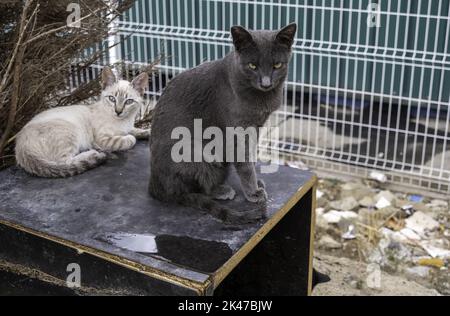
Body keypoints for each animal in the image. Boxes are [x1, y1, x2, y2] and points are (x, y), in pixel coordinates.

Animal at [15, 67, 149, 178]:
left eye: (128, 101)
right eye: (112, 99)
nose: (118, 111)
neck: (124, 121)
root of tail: (20, 146)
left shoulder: (128, 126)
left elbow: (135, 130)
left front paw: (147, 132)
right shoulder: (103, 139)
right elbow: (129, 139)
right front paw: (129, 137)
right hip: (69, 132)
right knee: (64, 162)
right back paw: (94, 154)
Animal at [149, 23, 298, 223]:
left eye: (277, 65)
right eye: (252, 65)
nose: (266, 83)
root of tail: (154, 186)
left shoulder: (256, 127)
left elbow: (251, 155)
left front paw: (256, 182)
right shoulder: (237, 130)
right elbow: (244, 163)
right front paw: (253, 192)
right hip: (193, 150)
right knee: (196, 186)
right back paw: (222, 190)